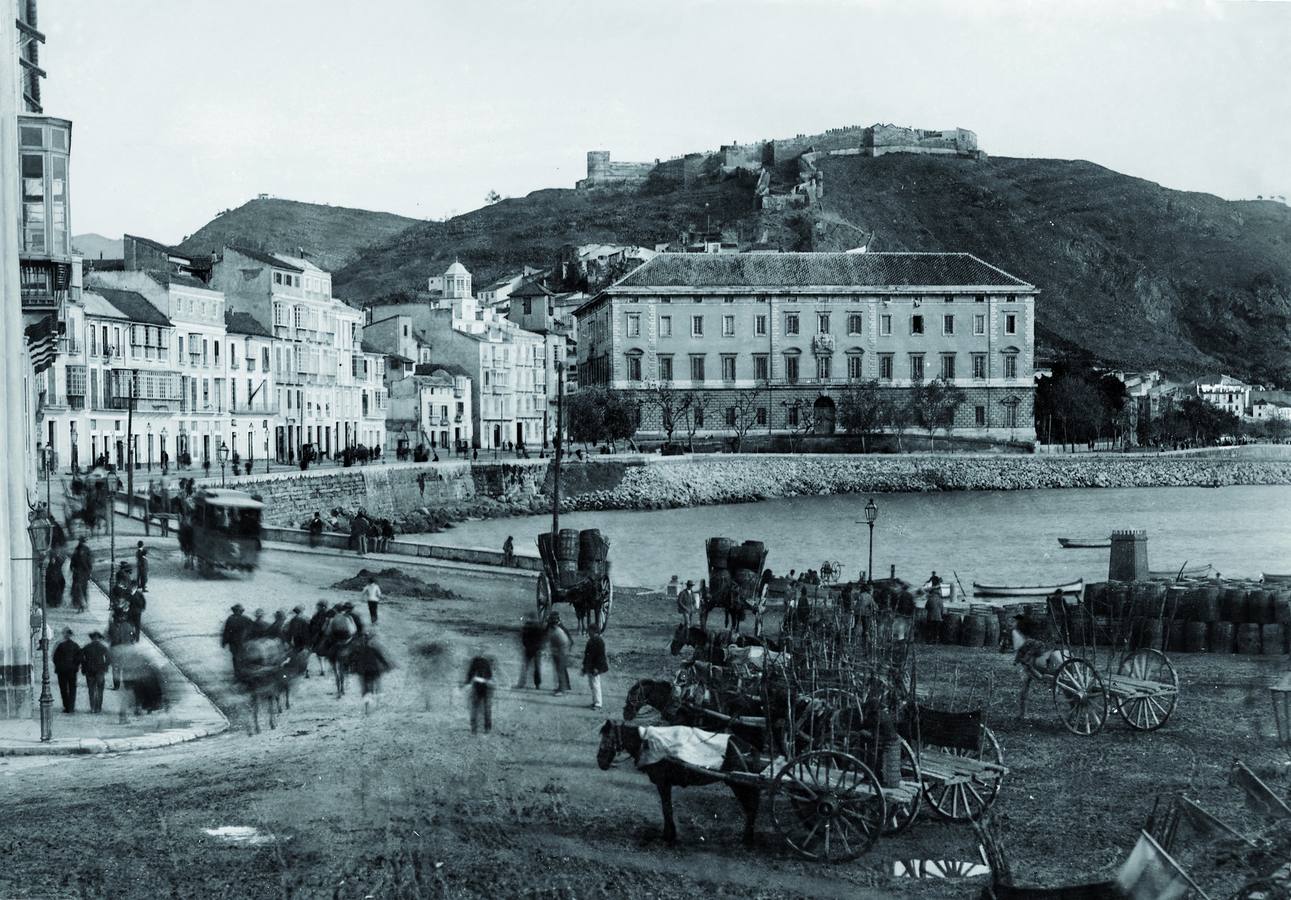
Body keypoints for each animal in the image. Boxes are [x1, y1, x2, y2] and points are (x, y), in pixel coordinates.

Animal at [596, 717, 764, 847]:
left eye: (607, 738)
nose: (600, 762)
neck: (645, 741)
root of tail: (749, 748)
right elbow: (667, 808)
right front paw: (669, 834)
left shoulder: (663, 783)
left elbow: (666, 809)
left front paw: (669, 836)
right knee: (752, 807)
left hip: (739, 785)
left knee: (751, 808)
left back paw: (747, 840)